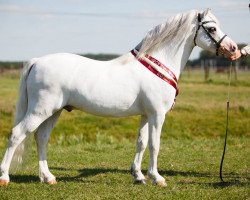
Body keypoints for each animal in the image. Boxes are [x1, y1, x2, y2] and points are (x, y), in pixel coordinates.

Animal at [0, 8, 236, 187]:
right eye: (212, 28)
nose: (233, 48)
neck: (158, 65)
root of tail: (36, 61)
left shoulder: (146, 115)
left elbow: (141, 142)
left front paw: (139, 176)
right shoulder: (157, 114)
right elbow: (155, 144)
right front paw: (157, 178)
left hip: (53, 112)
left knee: (41, 138)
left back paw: (47, 177)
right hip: (40, 111)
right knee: (17, 134)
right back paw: (5, 177)